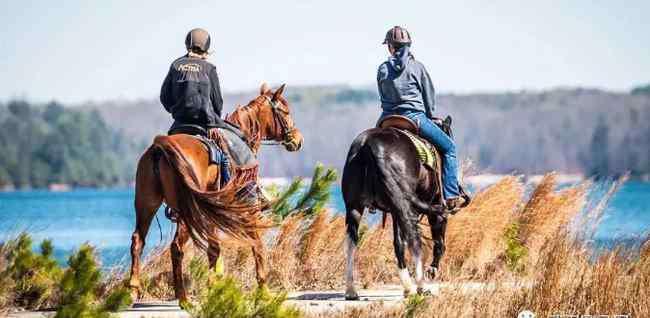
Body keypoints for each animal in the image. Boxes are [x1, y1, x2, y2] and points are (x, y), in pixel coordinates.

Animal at [128, 84, 302, 304]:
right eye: (285, 111)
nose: (298, 139)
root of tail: (160, 147)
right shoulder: (247, 205)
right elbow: (257, 243)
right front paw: (263, 289)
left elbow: (214, 248)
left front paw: (214, 285)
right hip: (187, 211)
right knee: (176, 247)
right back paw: (183, 298)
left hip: (147, 204)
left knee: (138, 241)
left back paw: (132, 290)